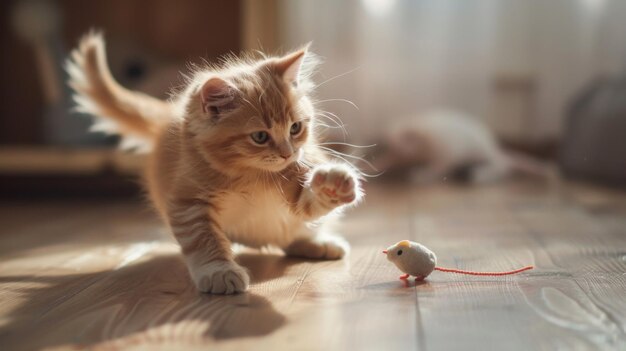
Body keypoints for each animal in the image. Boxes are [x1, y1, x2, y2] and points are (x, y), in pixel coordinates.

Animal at [66, 34, 360, 296]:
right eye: (260, 137)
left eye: (295, 128)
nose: (288, 154)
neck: (248, 174)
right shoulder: (188, 202)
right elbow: (203, 239)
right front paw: (219, 271)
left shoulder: (296, 179)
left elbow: (306, 203)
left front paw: (333, 184)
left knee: (293, 234)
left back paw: (318, 243)